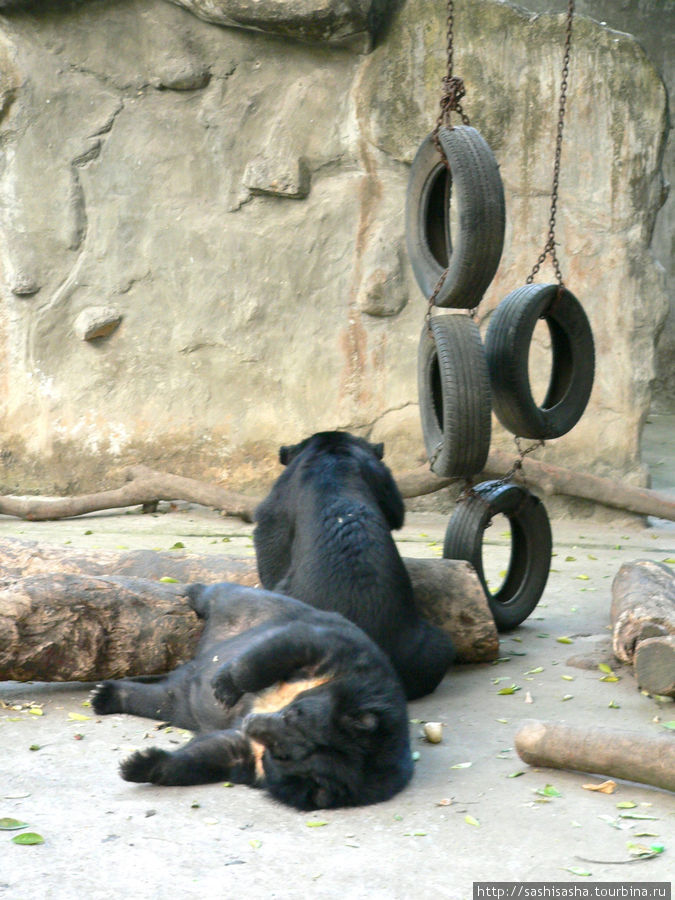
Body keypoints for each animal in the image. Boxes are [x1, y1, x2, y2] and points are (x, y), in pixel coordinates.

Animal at [91, 580, 412, 812]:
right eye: (292, 713)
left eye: (282, 754)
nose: (250, 722)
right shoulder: (343, 659)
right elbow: (289, 646)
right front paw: (224, 687)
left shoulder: (258, 763)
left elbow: (220, 752)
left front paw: (138, 764)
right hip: (257, 609)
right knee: (229, 595)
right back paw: (194, 593)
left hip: (181, 702)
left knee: (163, 700)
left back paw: (104, 695)